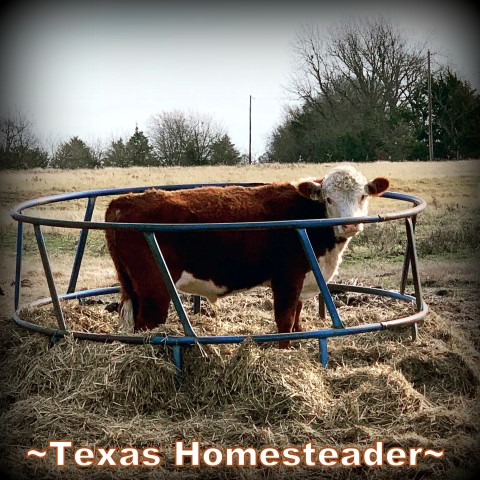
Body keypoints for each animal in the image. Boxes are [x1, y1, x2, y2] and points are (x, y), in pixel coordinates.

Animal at [104, 165, 386, 344]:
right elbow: (285, 322)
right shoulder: (287, 277)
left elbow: (297, 319)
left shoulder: (305, 278)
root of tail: (123, 201)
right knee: (148, 324)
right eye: (328, 199)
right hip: (155, 287)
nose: (350, 224)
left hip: (133, 286)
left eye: (363, 196)